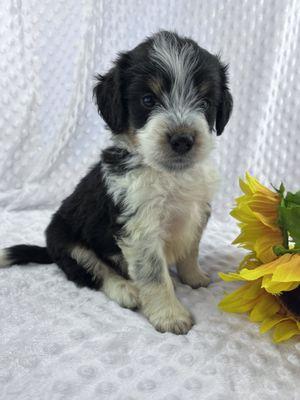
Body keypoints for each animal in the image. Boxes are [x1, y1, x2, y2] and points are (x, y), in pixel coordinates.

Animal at [0, 31, 233, 332]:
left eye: (204, 103)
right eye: (148, 100)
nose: (182, 140)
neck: (168, 173)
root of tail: (49, 249)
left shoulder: (197, 210)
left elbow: (190, 250)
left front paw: (195, 278)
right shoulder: (140, 227)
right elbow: (154, 275)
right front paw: (170, 316)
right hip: (67, 241)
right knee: (94, 271)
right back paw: (126, 290)